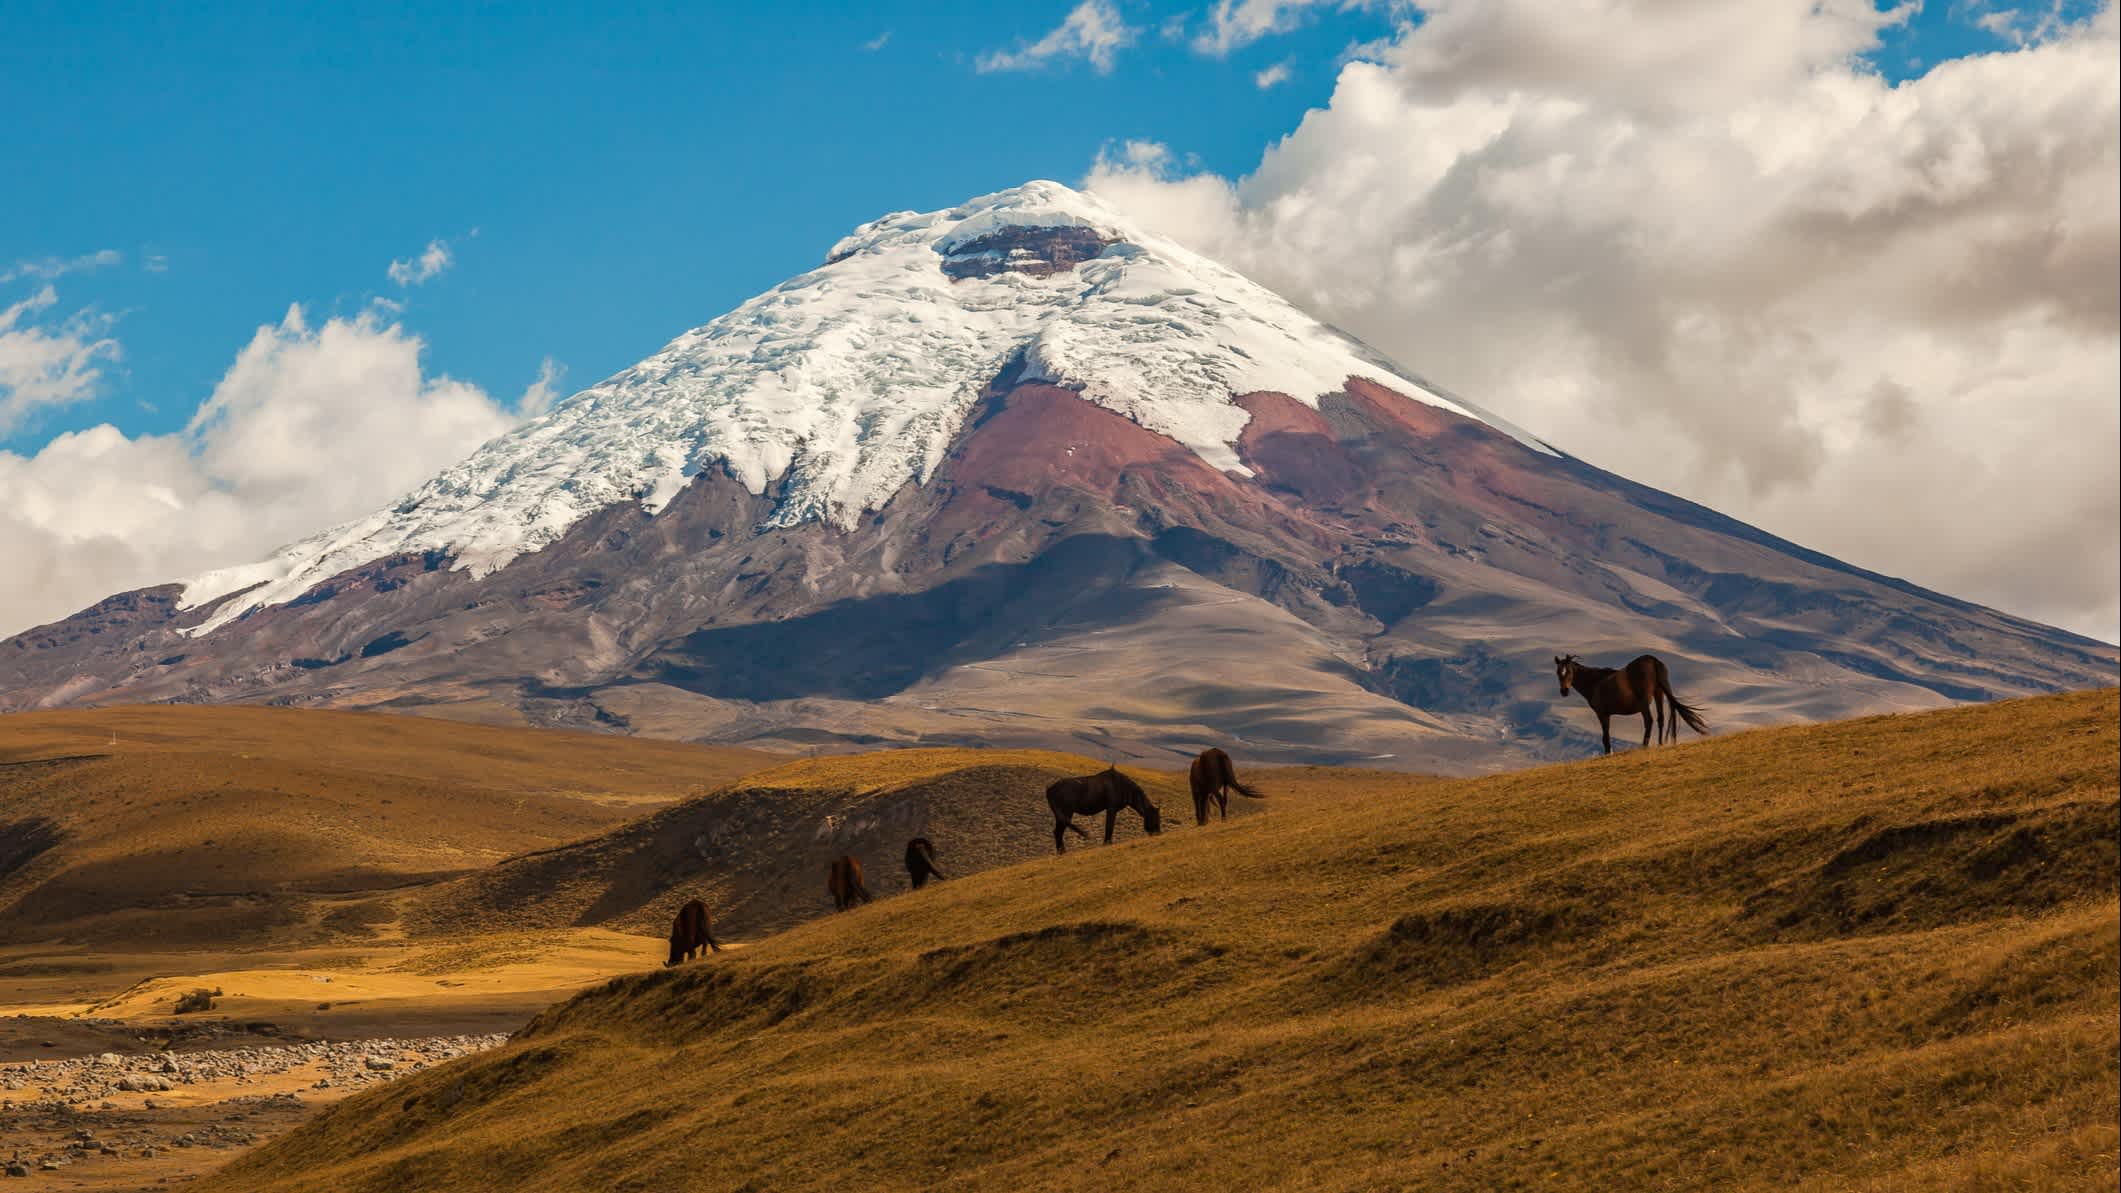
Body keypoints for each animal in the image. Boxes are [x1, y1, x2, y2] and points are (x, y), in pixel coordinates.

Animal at [1552, 649, 1713, 751]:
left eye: (1569, 671)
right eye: (1558, 672)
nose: (1564, 691)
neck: (1595, 682)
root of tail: (1652, 660)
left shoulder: (1602, 714)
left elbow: (1605, 737)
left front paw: (1608, 753)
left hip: (1644, 702)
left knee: (1649, 720)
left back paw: (1644, 745)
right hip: (1659, 693)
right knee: (1660, 719)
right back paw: (1660, 744)